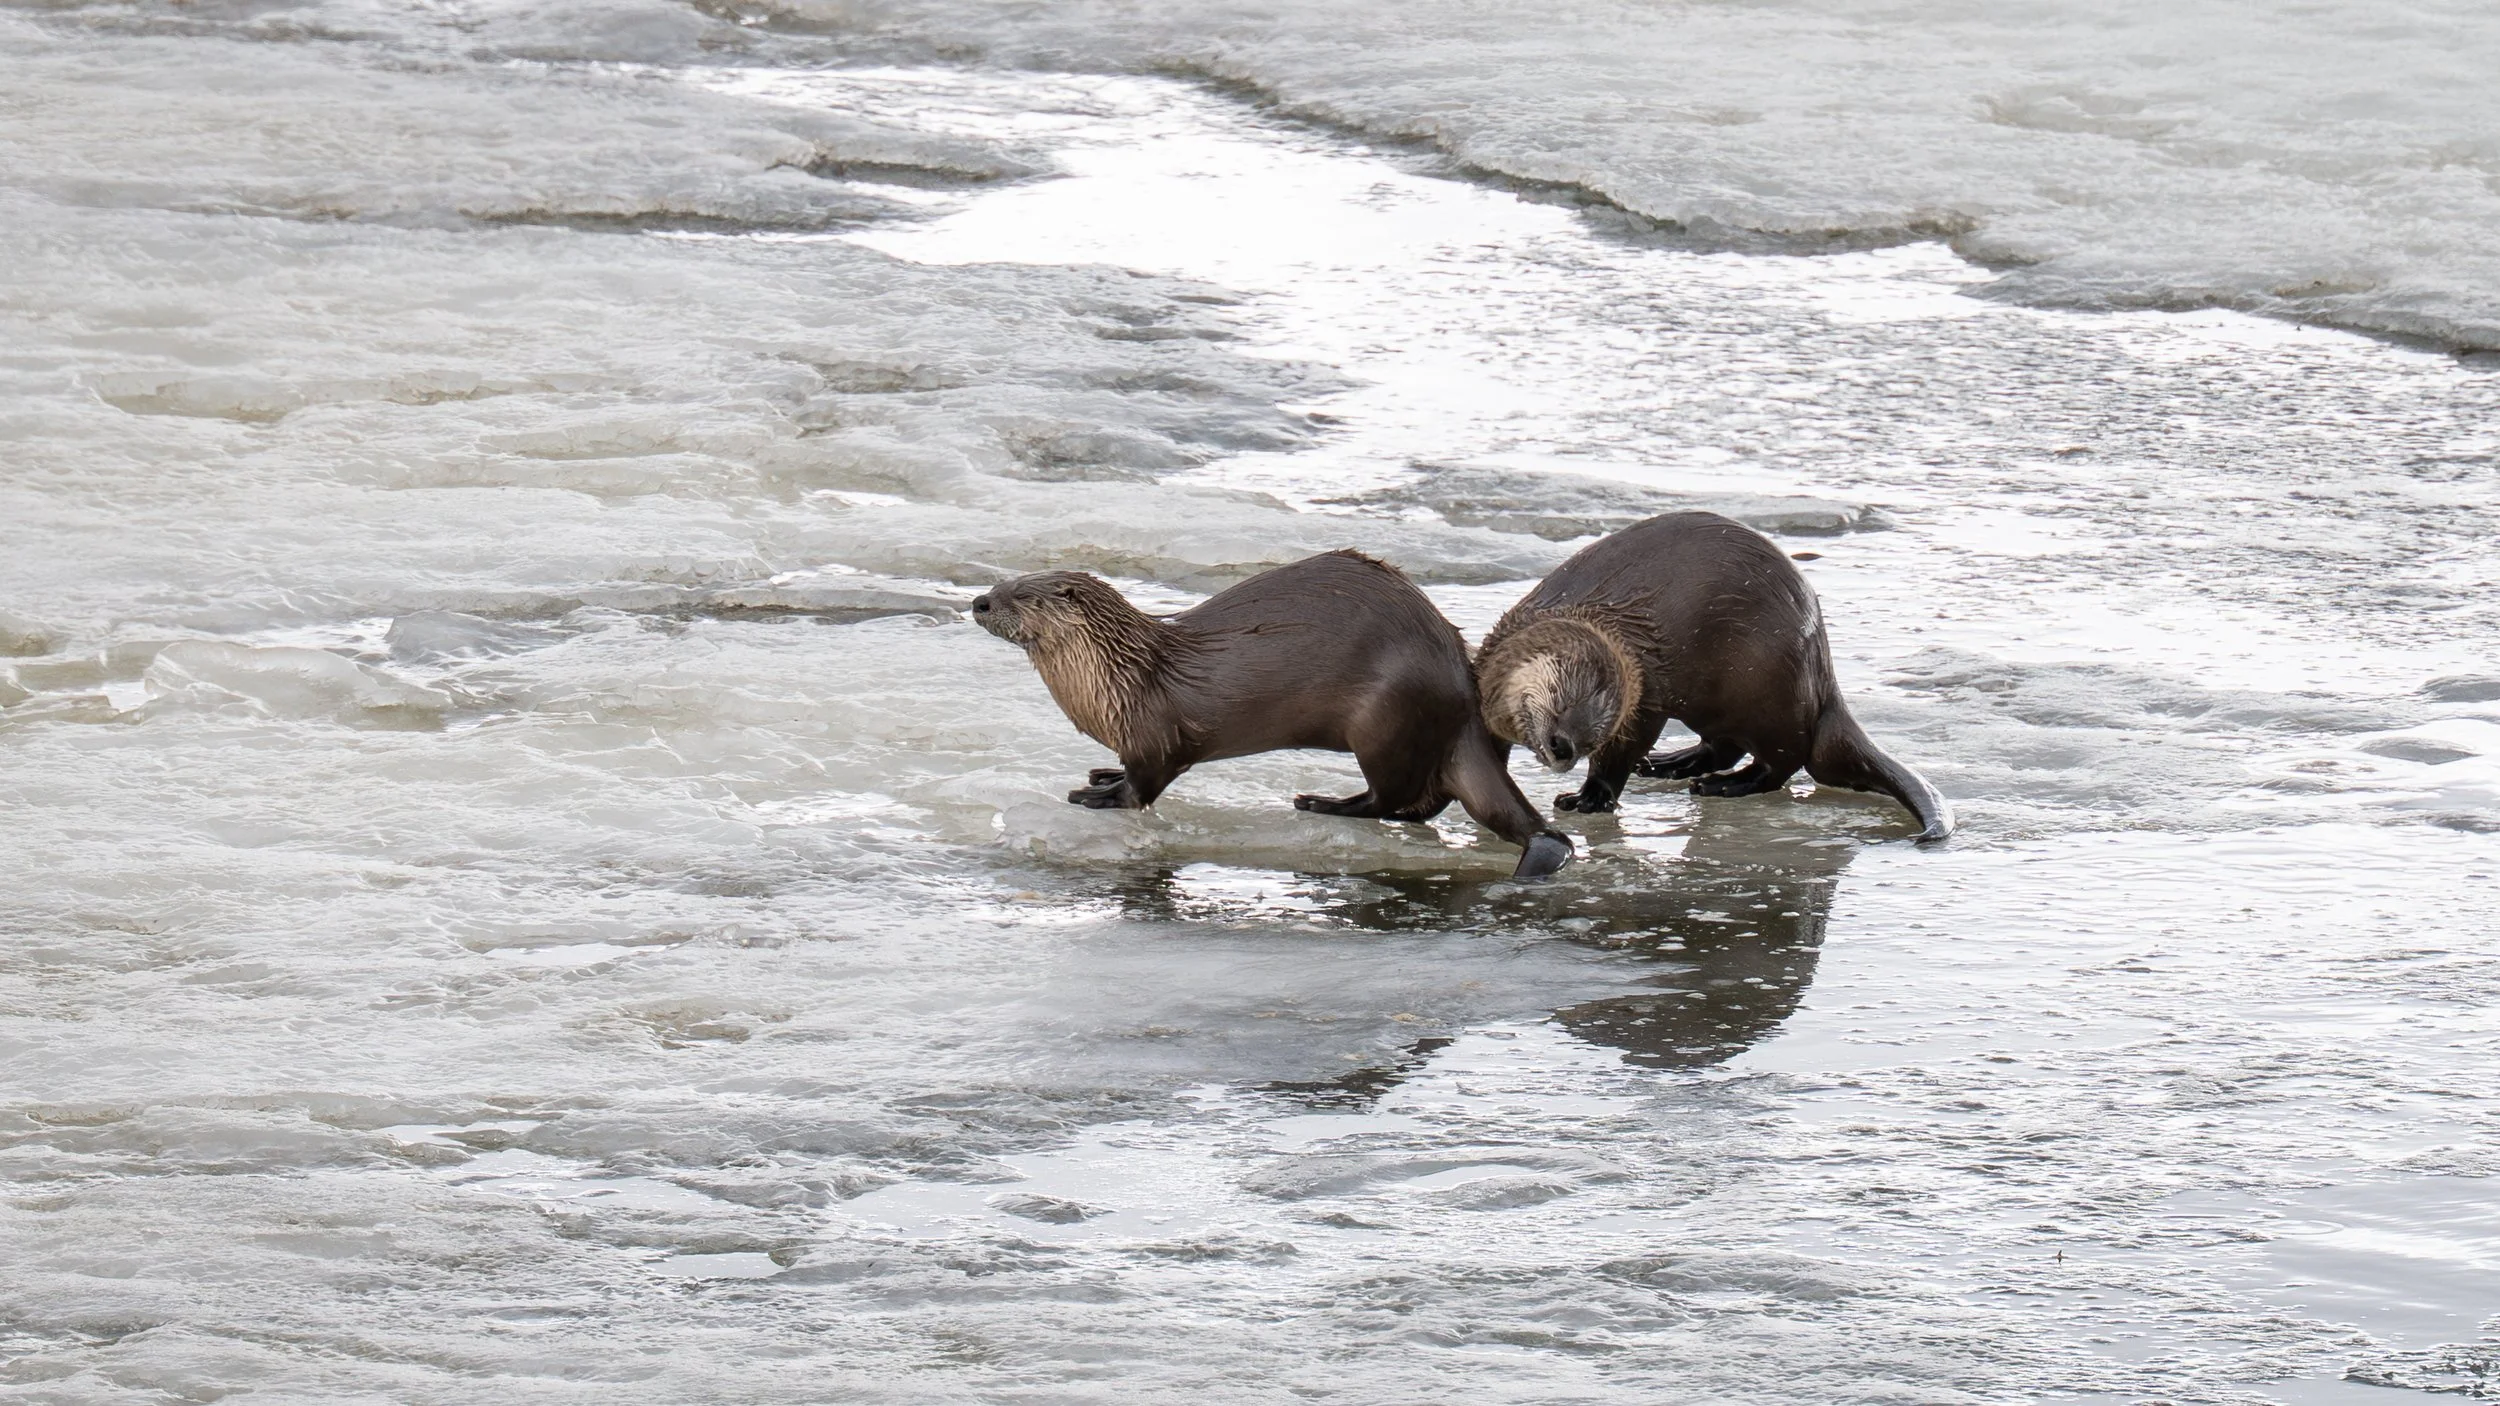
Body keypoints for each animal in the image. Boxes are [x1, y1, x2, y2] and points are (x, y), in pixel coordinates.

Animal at [971, 550, 1574, 879]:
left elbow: (1147, 783)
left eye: (1022, 596)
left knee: (1393, 798)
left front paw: (1103, 795)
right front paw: (1103, 773)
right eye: (1001, 583)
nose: (979, 601)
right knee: (1427, 801)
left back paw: (1325, 803)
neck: (1117, 677)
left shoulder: (1155, 733)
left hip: (1385, 719)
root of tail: (1462, 690)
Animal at [1474, 512, 1953, 841]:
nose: (1563, 749)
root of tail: (1823, 675)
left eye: (1599, 730)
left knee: (1785, 760)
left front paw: (1589, 797)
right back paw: (1669, 764)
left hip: (1770, 690)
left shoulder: (1645, 698)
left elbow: (1621, 753)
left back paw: (1722, 786)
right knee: (1725, 746)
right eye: (1560, 696)